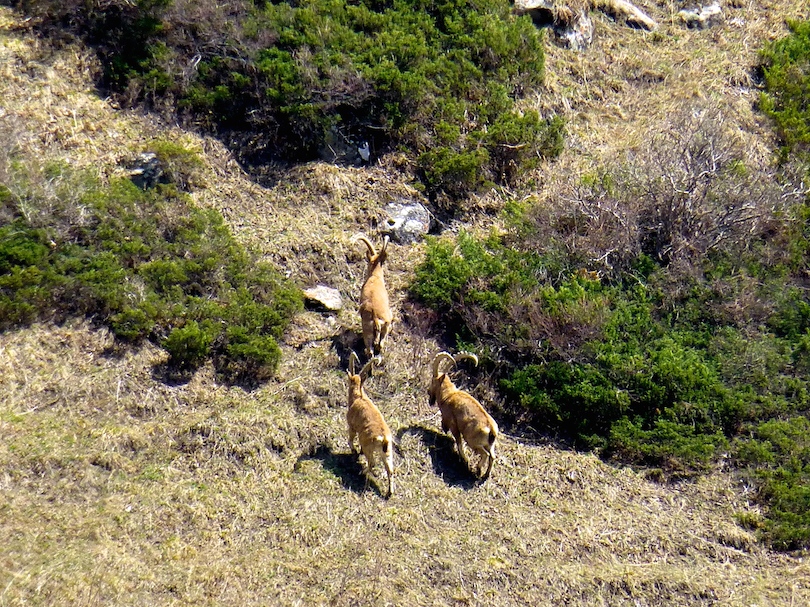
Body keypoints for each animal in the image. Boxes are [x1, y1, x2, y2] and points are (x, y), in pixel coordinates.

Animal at [347, 351, 394, 497]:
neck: (358, 397)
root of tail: (383, 439)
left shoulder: (352, 426)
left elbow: (350, 439)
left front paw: (354, 450)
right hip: (388, 452)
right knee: (390, 469)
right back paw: (389, 492)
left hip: (370, 447)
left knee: (372, 462)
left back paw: (363, 472)